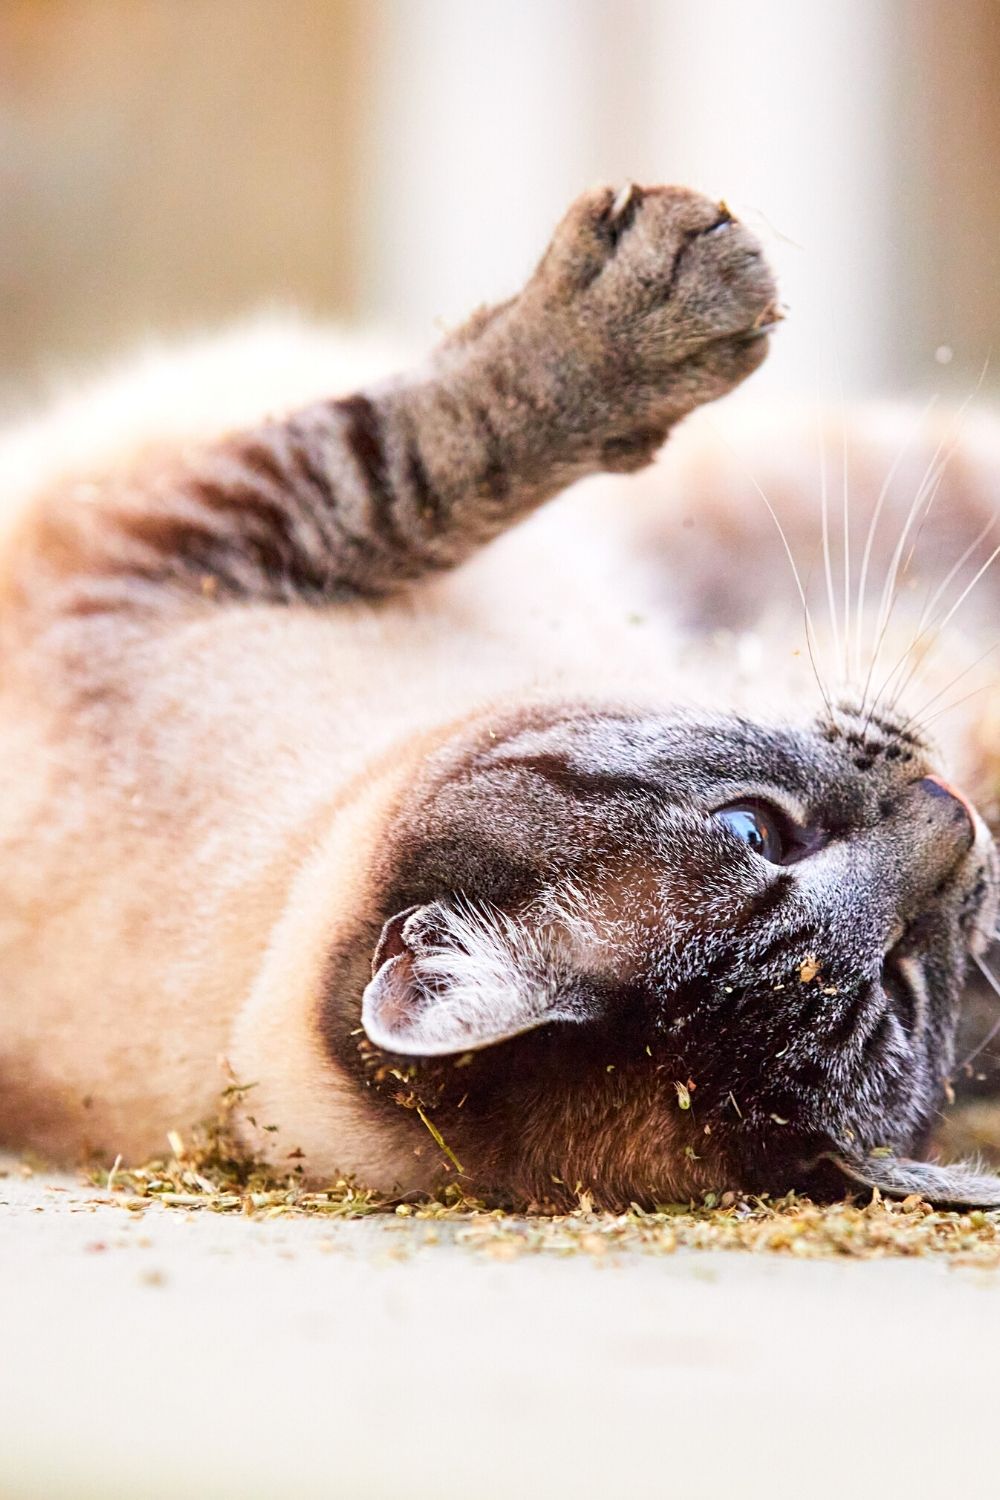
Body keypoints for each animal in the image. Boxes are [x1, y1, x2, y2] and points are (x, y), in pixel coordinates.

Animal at [1, 181, 1000, 1212]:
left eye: (902, 983)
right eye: (758, 831)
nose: (957, 815)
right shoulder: (168, 535)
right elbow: (408, 466)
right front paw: (639, 321)